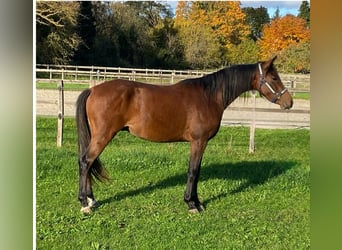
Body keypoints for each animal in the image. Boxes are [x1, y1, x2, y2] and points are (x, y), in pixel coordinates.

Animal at [76, 56, 292, 213]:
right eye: (274, 78)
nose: (289, 102)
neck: (209, 96)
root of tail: (92, 90)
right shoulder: (198, 141)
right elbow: (193, 171)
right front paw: (192, 204)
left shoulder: (199, 143)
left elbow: (197, 171)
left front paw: (197, 202)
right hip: (103, 136)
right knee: (86, 162)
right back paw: (85, 203)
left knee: (87, 163)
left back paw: (91, 199)